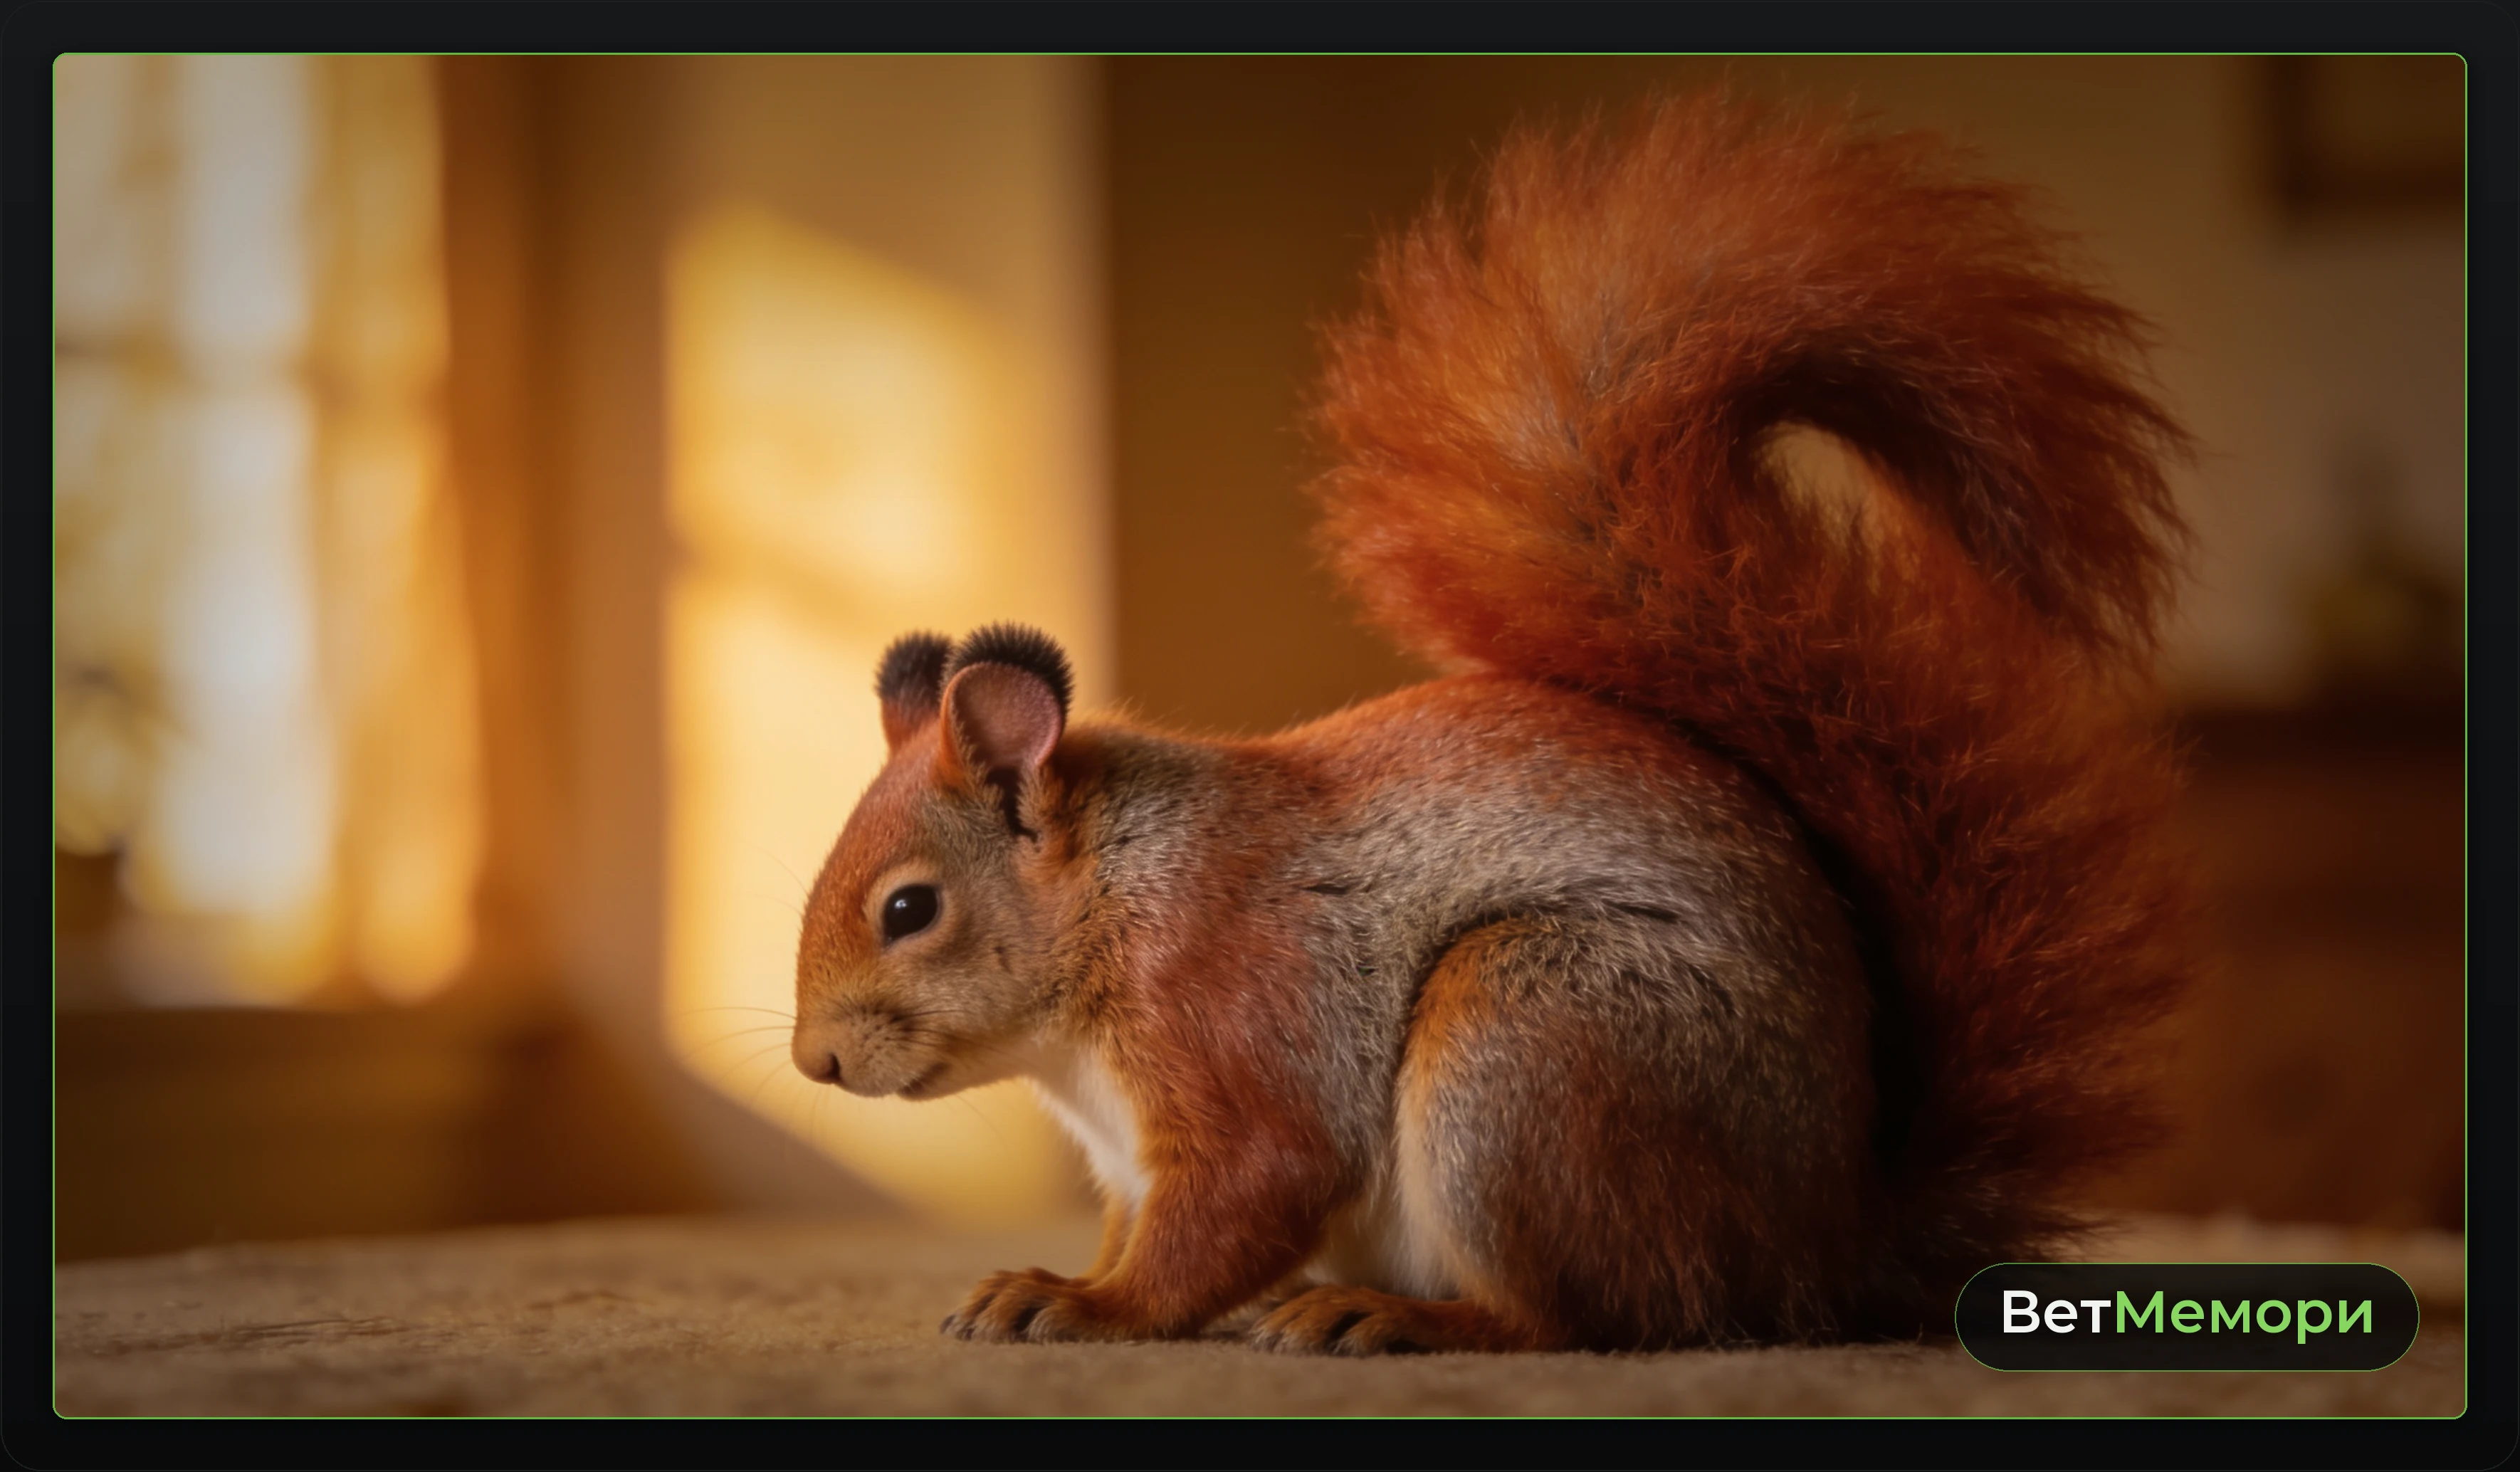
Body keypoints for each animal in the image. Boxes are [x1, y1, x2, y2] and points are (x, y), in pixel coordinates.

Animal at [791, 92, 2193, 1353]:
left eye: (909, 908)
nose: (813, 1065)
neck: (1114, 900)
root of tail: (1825, 1244)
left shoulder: (1240, 1018)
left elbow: (1234, 1207)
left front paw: (1084, 1307)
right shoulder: (1132, 1153)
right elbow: (1143, 1226)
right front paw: (1049, 1278)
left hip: (1529, 1042)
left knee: (1596, 1315)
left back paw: (1396, 1314)